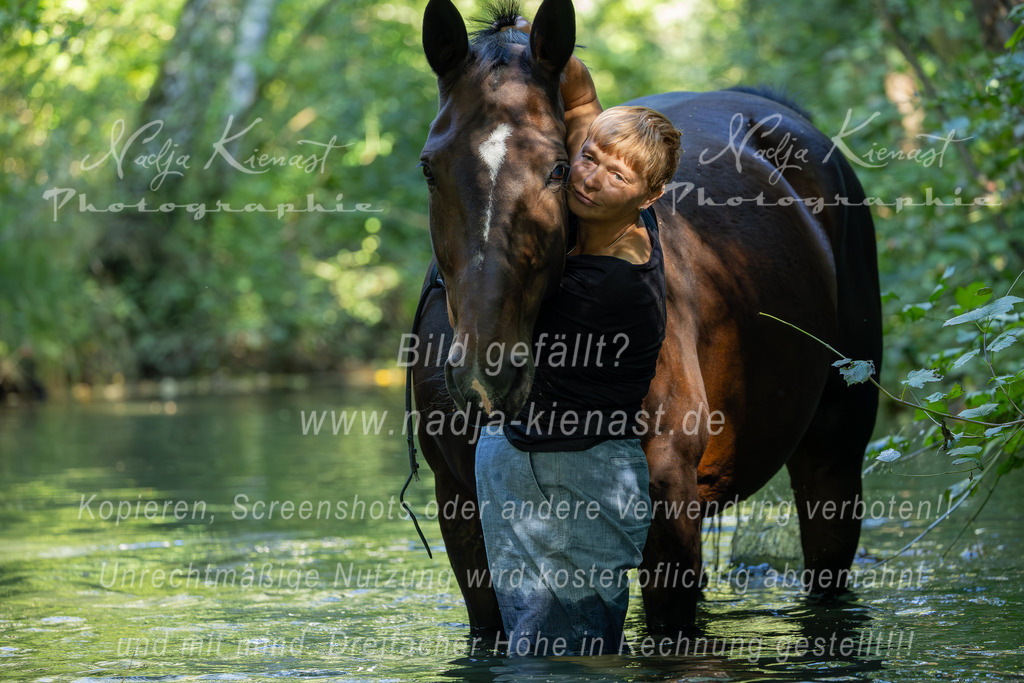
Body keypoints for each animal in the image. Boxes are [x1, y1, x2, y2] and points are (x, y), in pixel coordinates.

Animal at [410, 0, 882, 637]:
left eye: (558, 168)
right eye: (429, 168)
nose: (488, 376)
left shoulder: (668, 503)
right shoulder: (461, 510)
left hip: (834, 456)